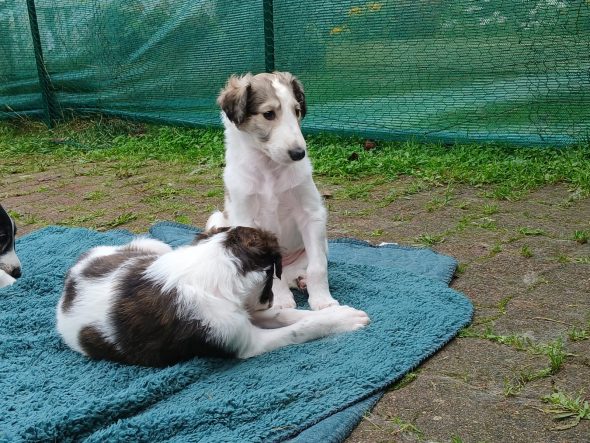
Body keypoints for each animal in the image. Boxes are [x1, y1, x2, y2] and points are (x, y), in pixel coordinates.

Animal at [56, 225, 370, 368]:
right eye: (271, 276)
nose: (268, 300)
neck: (212, 270)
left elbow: (291, 314)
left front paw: (337, 312)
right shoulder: (247, 341)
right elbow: (301, 328)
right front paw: (345, 321)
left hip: (154, 246)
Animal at [207, 71, 338, 312]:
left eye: (297, 111)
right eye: (268, 114)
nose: (299, 154)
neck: (269, 169)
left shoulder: (311, 214)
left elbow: (318, 266)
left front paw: (323, 301)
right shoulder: (246, 218)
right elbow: (269, 273)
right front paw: (281, 301)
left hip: (321, 244)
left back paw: (301, 280)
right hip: (217, 218)